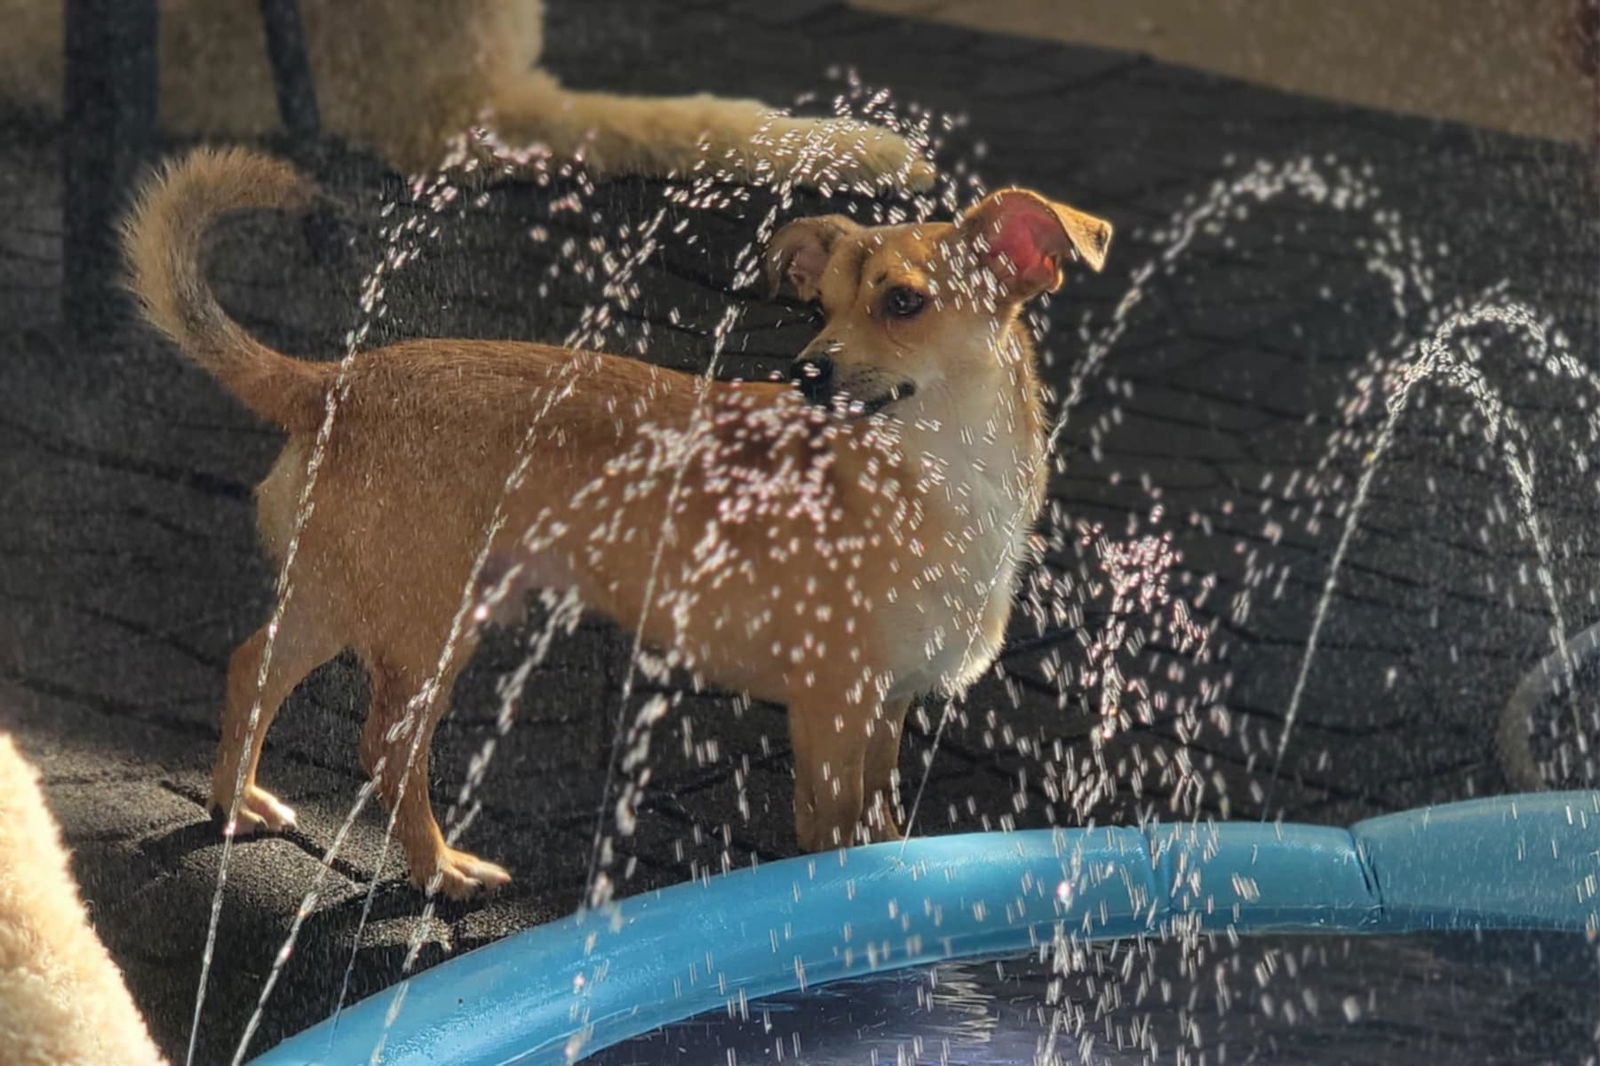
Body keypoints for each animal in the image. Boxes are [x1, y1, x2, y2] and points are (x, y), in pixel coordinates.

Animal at [121, 147, 1113, 896]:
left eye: (903, 301)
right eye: (818, 307)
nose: (808, 371)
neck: (935, 476)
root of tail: (337, 379)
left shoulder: (888, 708)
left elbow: (883, 822)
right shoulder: (833, 712)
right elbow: (834, 842)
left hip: (341, 597)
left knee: (251, 665)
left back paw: (236, 801)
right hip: (427, 628)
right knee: (384, 749)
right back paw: (438, 868)